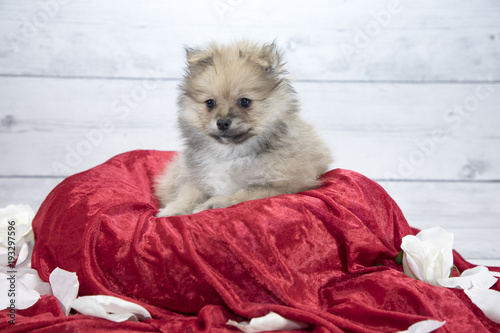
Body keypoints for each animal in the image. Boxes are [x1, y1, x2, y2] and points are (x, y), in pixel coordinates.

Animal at [154, 40, 330, 217]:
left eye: (245, 102)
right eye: (210, 103)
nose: (222, 122)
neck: (230, 153)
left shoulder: (285, 184)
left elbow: (244, 193)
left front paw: (214, 202)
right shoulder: (194, 176)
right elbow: (189, 192)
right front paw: (174, 209)